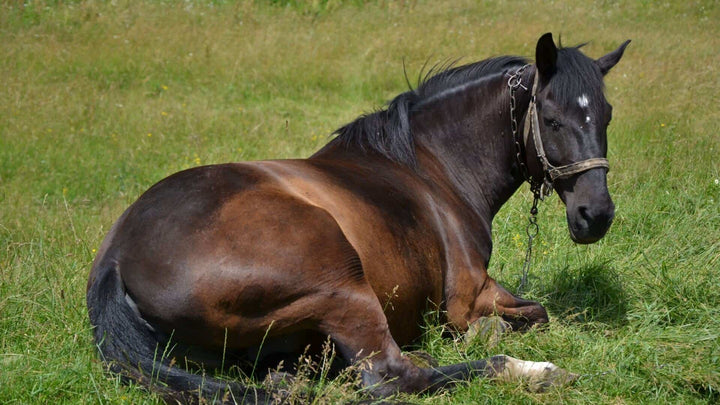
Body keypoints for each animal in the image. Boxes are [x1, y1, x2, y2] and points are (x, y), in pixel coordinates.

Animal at [87, 33, 629, 402]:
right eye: (552, 119)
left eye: (606, 116)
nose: (596, 215)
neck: (431, 165)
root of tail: (115, 259)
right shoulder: (471, 293)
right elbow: (534, 313)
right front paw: (492, 337)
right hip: (342, 287)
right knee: (392, 376)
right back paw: (531, 372)